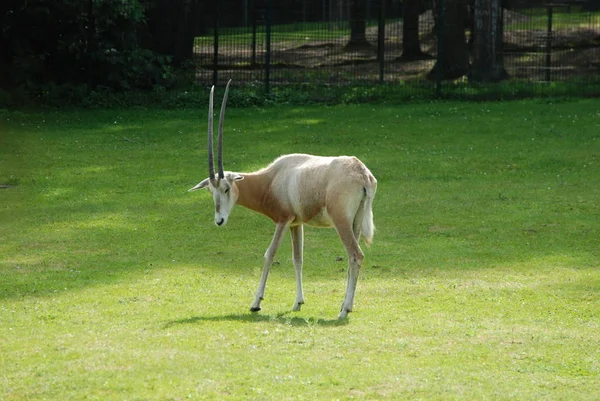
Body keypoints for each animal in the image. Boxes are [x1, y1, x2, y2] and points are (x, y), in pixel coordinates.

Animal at [190, 80, 378, 318]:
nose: (219, 220)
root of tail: (362, 172)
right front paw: (298, 302)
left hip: (341, 221)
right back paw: (346, 305)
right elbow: (298, 258)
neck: (271, 179)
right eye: (210, 191)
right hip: (355, 223)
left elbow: (269, 254)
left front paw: (256, 303)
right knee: (352, 257)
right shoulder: (296, 224)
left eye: (226, 188)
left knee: (355, 255)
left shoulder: (283, 219)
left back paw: (344, 311)